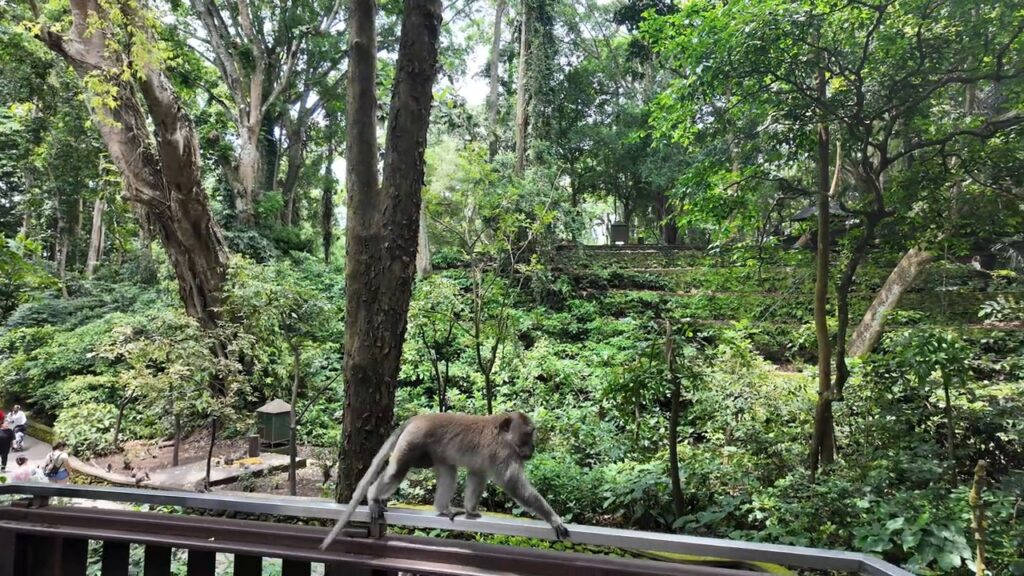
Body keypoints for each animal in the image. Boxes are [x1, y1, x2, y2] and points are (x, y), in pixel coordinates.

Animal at [320, 411, 569, 550]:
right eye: (528, 433)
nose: (533, 448)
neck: (503, 434)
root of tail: (420, 416)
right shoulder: (504, 453)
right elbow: (514, 485)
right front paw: (554, 519)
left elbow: (476, 475)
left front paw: (471, 510)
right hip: (413, 442)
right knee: (397, 471)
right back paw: (373, 497)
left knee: (449, 471)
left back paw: (442, 508)